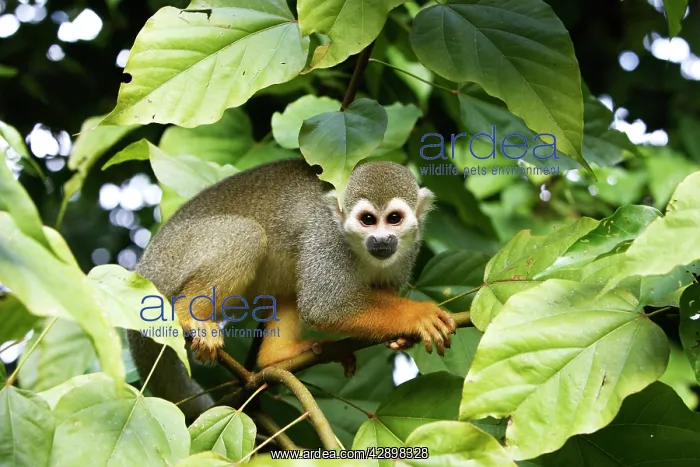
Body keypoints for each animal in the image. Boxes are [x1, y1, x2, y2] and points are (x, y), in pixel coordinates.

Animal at [127, 158, 456, 418]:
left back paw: (276, 357)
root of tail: (144, 266)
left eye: (394, 219)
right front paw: (417, 315)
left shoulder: (409, 251)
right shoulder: (325, 240)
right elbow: (324, 307)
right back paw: (187, 316)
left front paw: (399, 338)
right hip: (175, 258)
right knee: (247, 236)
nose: (381, 240)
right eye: (367, 220)